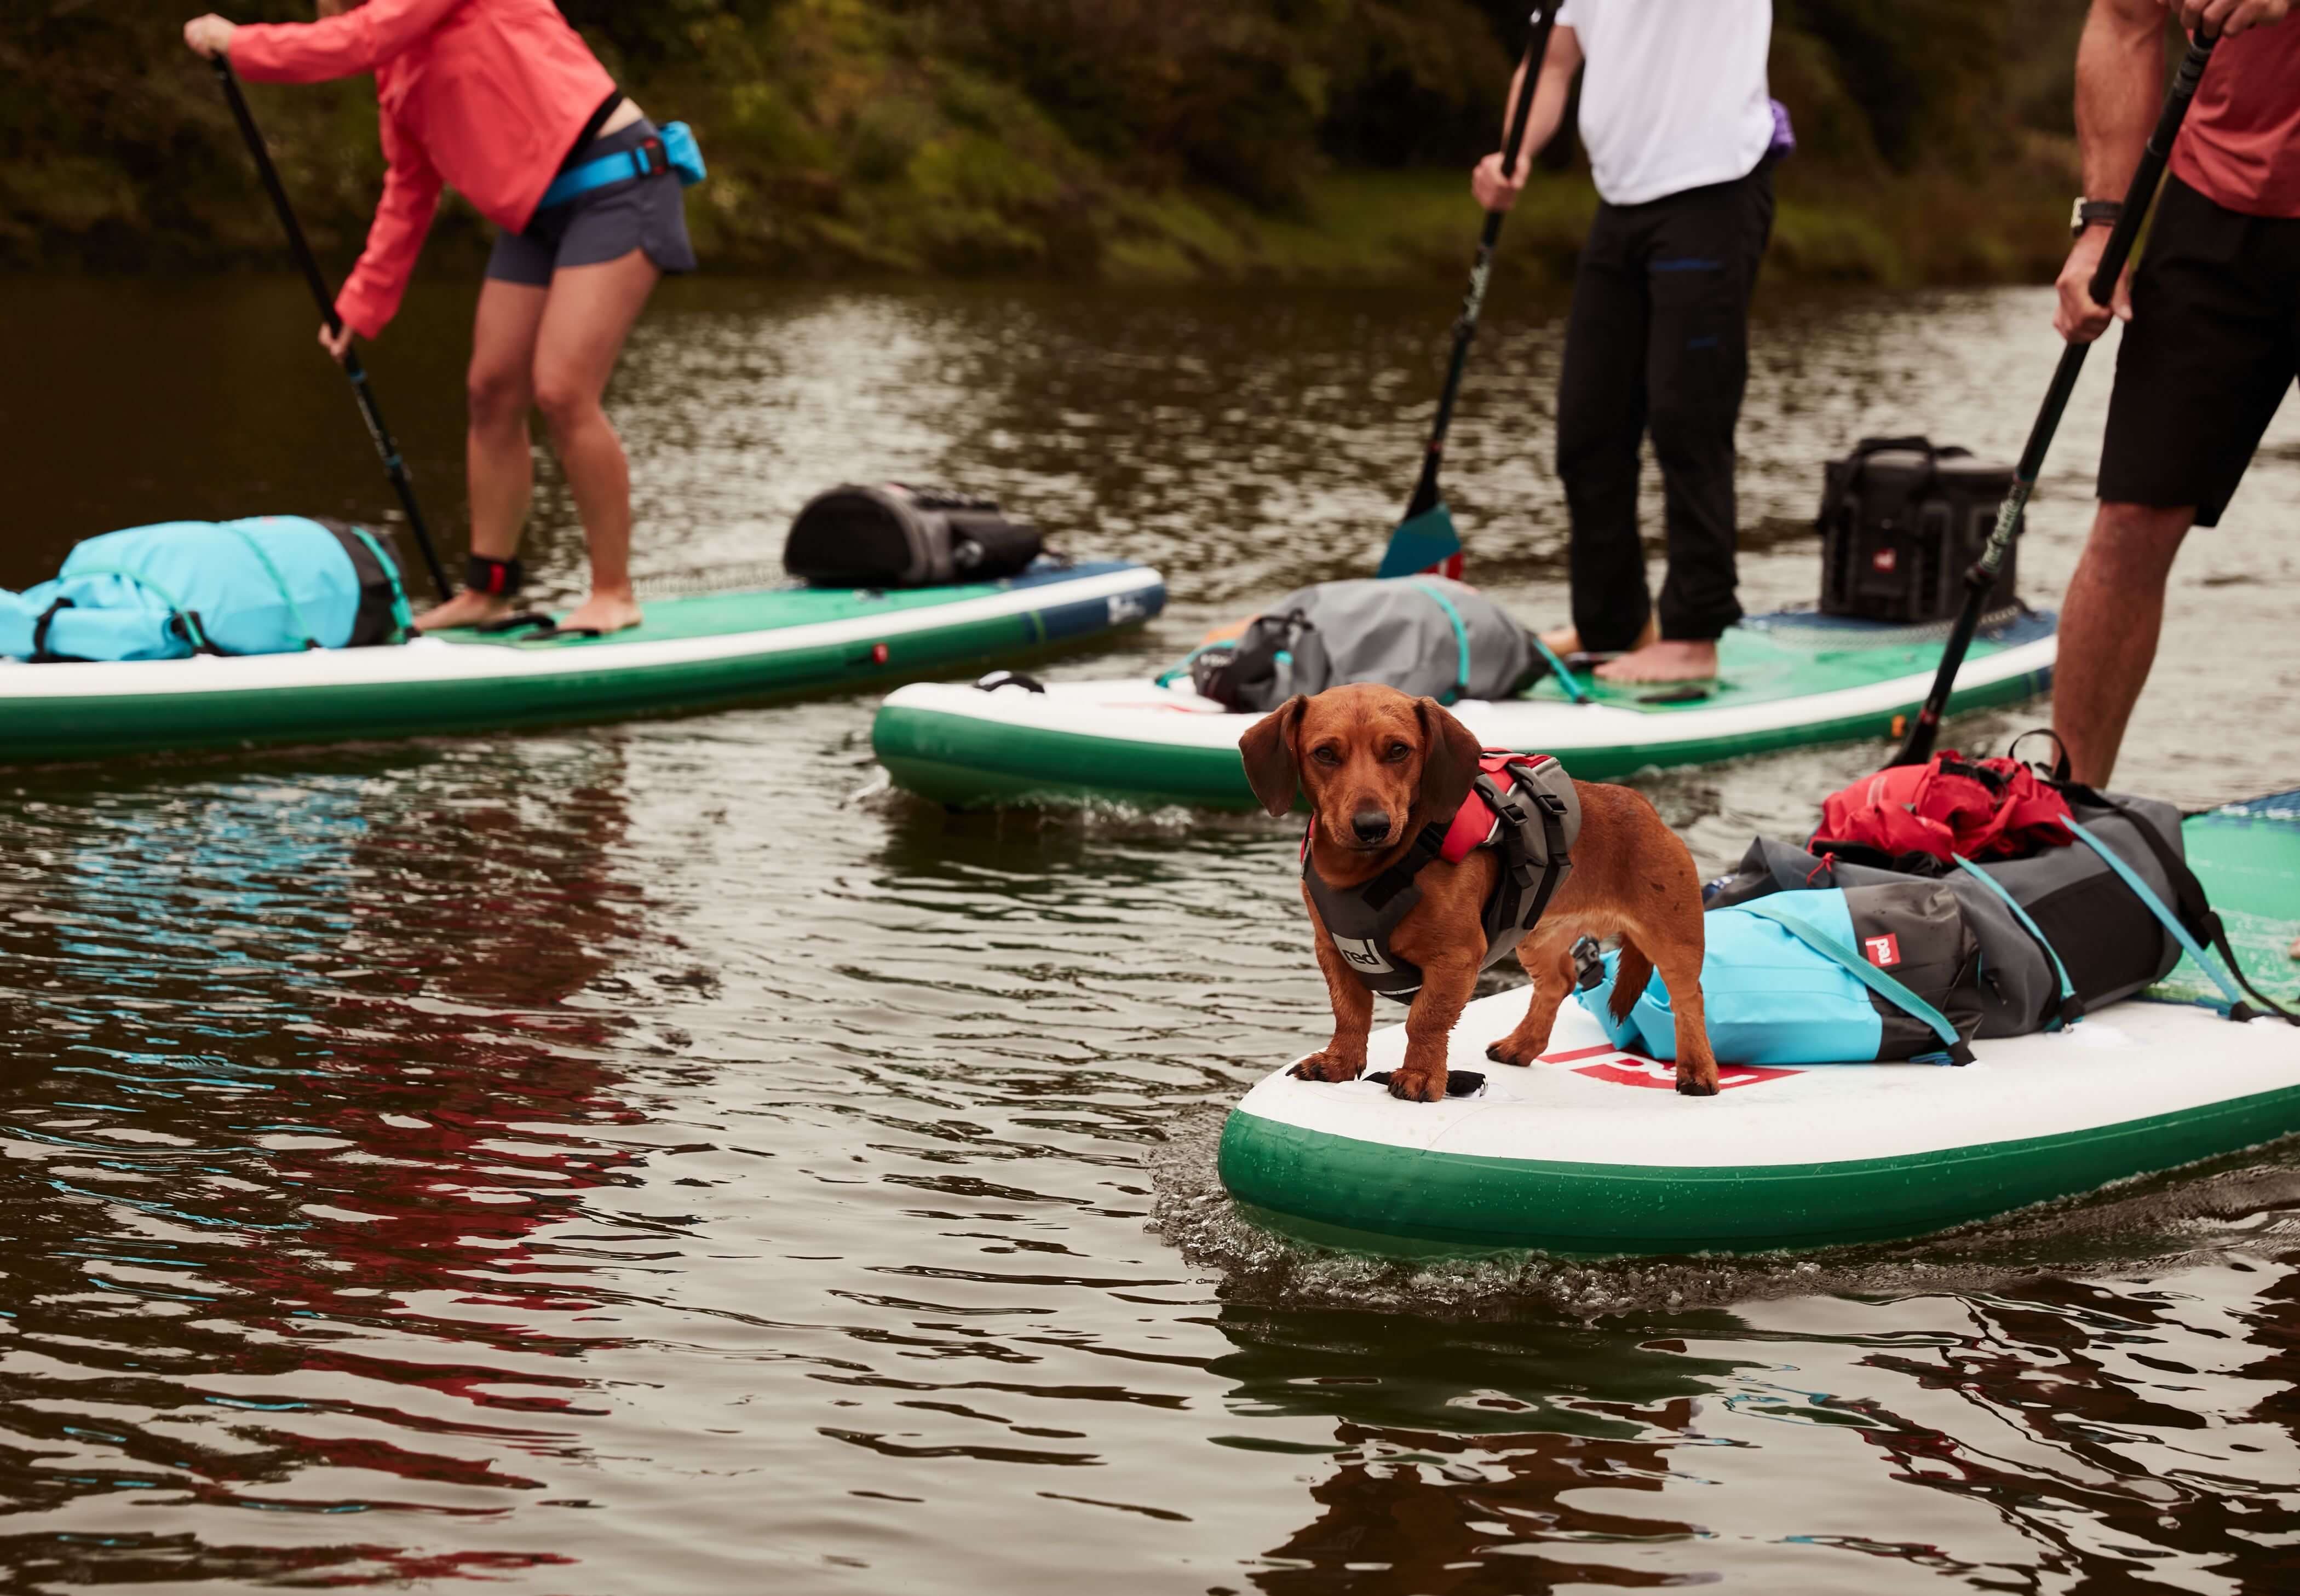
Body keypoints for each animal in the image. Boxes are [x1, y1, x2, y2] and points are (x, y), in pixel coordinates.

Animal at [1242, 681, 1711, 1108]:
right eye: (1324, 753)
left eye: (1398, 750)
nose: (1372, 825)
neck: (1367, 872)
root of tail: (1644, 807)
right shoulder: (1334, 951)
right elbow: (1349, 1014)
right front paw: (1338, 1063)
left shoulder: (1456, 958)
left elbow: (1425, 1020)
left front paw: (1420, 1076)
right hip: (1536, 934)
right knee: (1559, 981)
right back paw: (1521, 1045)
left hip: (1672, 939)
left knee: (1689, 999)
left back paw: (1699, 1072)